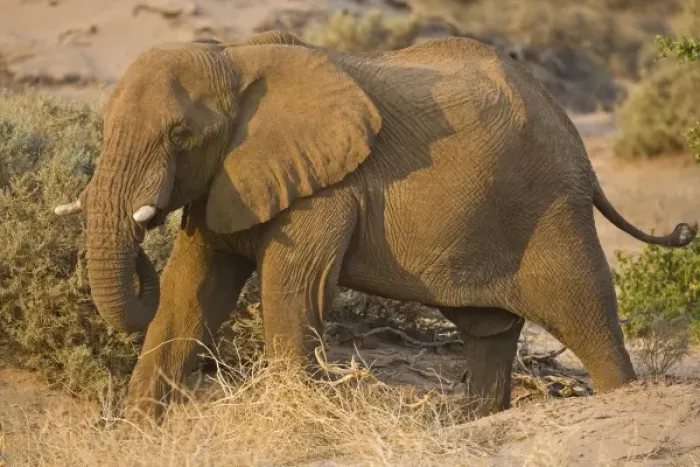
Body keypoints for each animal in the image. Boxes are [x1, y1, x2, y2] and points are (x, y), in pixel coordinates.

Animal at [54, 30, 696, 421]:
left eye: (181, 135)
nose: (143, 220)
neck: (234, 57)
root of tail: (580, 147)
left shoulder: (326, 190)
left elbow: (293, 291)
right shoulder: (228, 179)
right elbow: (189, 293)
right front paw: (138, 432)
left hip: (552, 209)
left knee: (588, 319)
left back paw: (622, 402)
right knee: (489, 332)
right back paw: (475, 423)